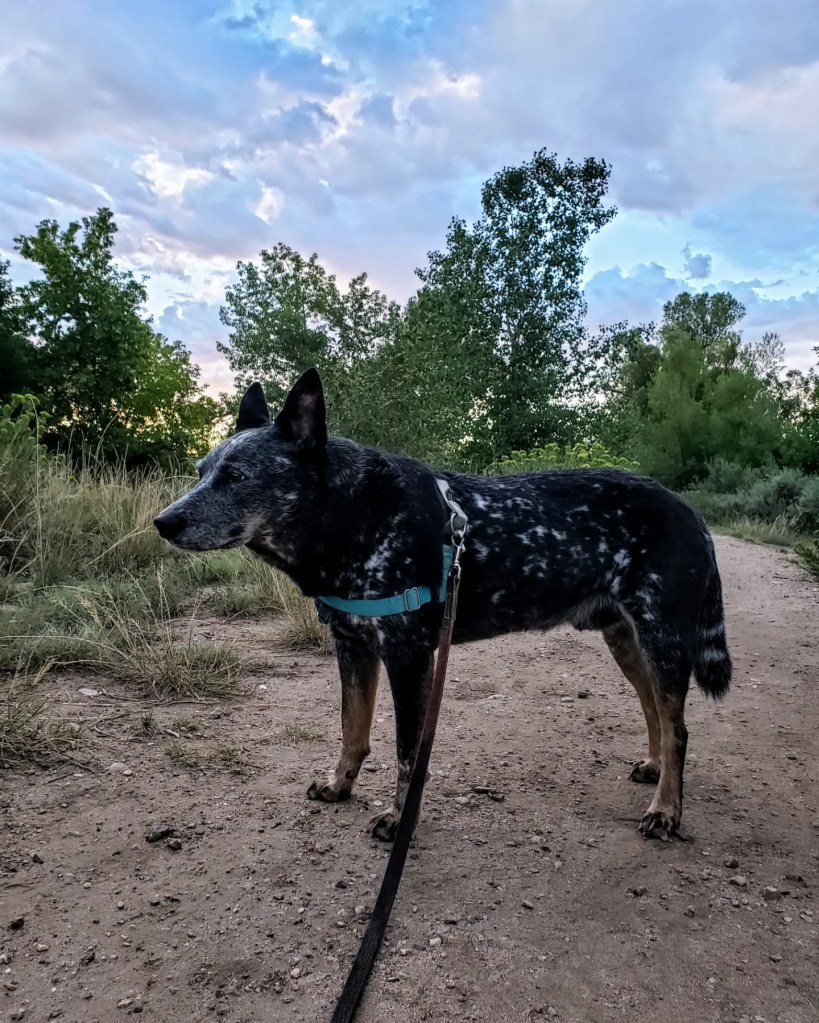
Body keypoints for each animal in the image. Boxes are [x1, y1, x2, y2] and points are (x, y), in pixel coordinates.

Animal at [154, 368, 731, 842]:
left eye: (237, 476)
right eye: (201, 471)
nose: (163, 521)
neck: (357, 512)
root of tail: (691, 511)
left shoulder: (408, 658)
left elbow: (408, 754)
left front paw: (398, 818)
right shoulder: (353, 648)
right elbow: (352, 730)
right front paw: (341, 783)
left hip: (662, 640)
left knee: (678, 727)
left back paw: (667, 810)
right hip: (627, 641)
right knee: (655, 710)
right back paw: (656, 771)